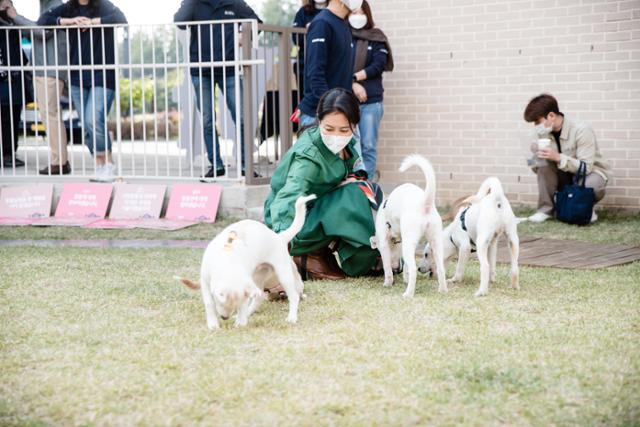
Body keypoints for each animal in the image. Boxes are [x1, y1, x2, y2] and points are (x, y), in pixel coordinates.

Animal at [176, 195, 316, 332]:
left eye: (235, 306)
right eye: (220, 303)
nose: (225, 318)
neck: (228, 261)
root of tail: (279, 237)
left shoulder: (245, 287)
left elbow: (243, 305)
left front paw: (240, 322)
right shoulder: (205, 282)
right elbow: (209, 303)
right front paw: (213, 324)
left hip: (282, 274)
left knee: (293, 296)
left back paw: (291, 317)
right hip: (258, 275)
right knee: (260, 296)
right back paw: (250, 312)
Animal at [372, 154, 448, 298]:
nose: (397, 268)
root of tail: (424, 203)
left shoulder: (384, 244)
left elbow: (387, 268)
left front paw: (388, 283)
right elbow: (406, 267)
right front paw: (405, 279)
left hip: (411, 243)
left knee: (413, 269)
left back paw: (408, 294)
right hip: (436, 243)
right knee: (441, 268)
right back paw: (442, 290)